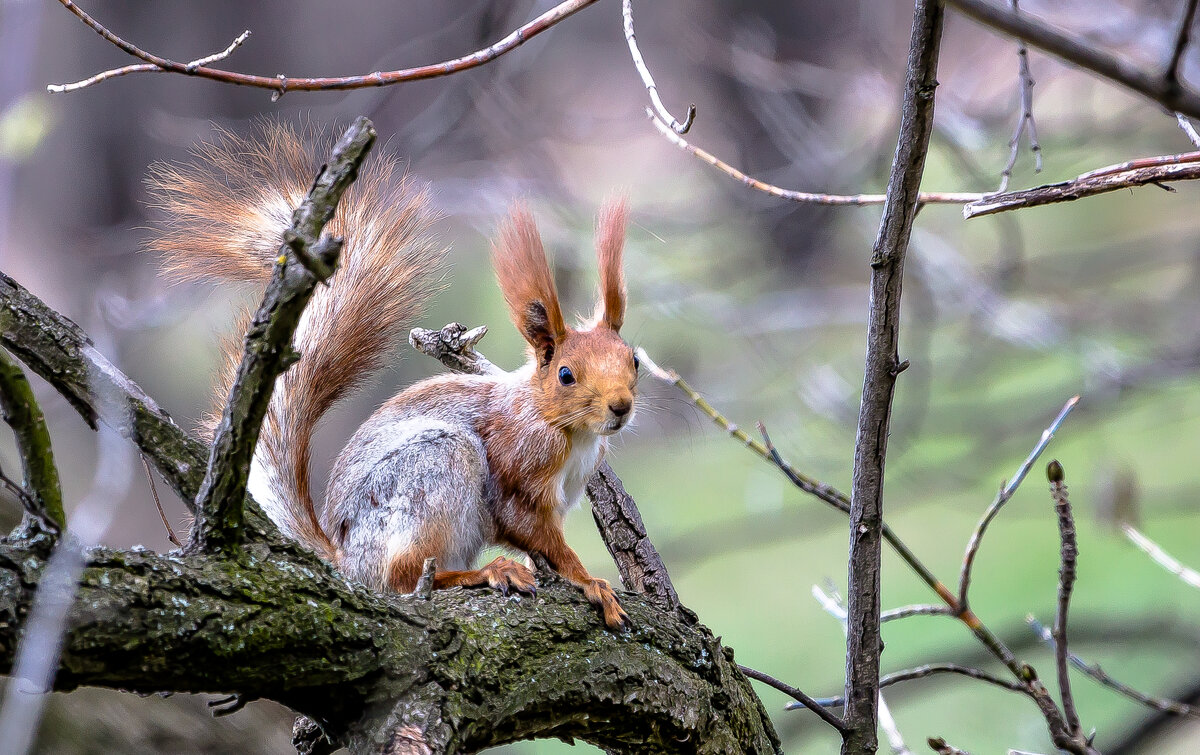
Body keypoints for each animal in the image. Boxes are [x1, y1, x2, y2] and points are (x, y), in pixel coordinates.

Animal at [148, 123, 638, 628]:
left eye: (634, 360)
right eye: (565, 374)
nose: (621, 407)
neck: (566, 429)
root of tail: (348, 562)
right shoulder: (518, 468)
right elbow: (535, 533)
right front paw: (590, 582)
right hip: (436, 473)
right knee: (403, 578)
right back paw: (483, 572)